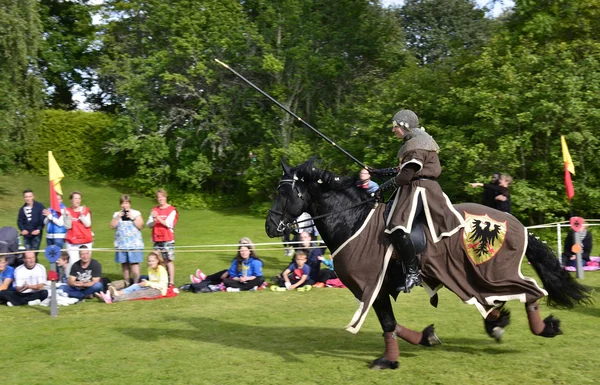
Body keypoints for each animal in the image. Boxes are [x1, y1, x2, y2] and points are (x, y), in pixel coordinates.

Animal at [266, 159, 592, 368]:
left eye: (283, 191)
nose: (270, 226)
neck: (353, 220)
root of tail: (517, 225)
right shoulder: (374, 291)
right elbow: (393, 325)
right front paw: (426, 337)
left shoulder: (373, 288)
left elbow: (388, 323)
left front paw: (389, 361)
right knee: (502, 298)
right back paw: (498, 323)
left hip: (492, 272)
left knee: (530, 290)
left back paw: (541, 327)